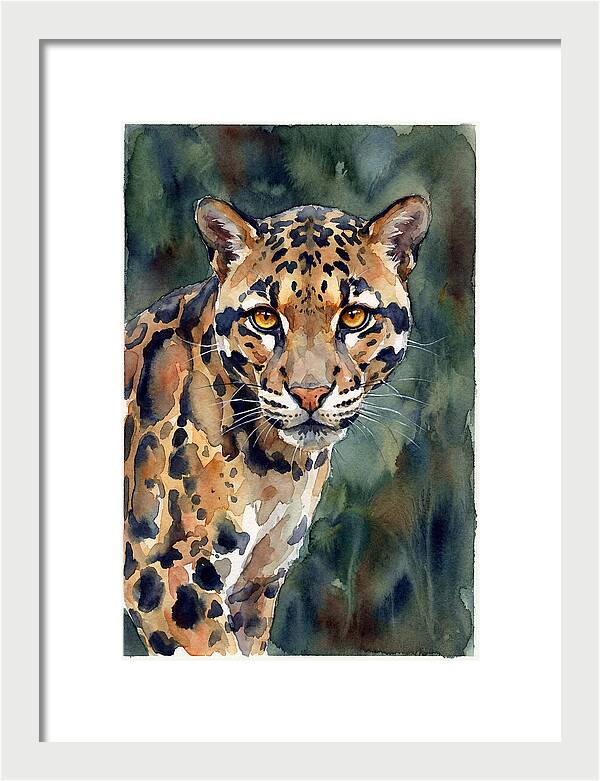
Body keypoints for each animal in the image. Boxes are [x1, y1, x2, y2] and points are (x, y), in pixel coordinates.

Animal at [124, 195, 431, 656]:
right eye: (265, 318)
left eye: (354, 317)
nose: (310, 393)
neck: (277, 467)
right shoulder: (166, 574)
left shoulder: (256, 585)